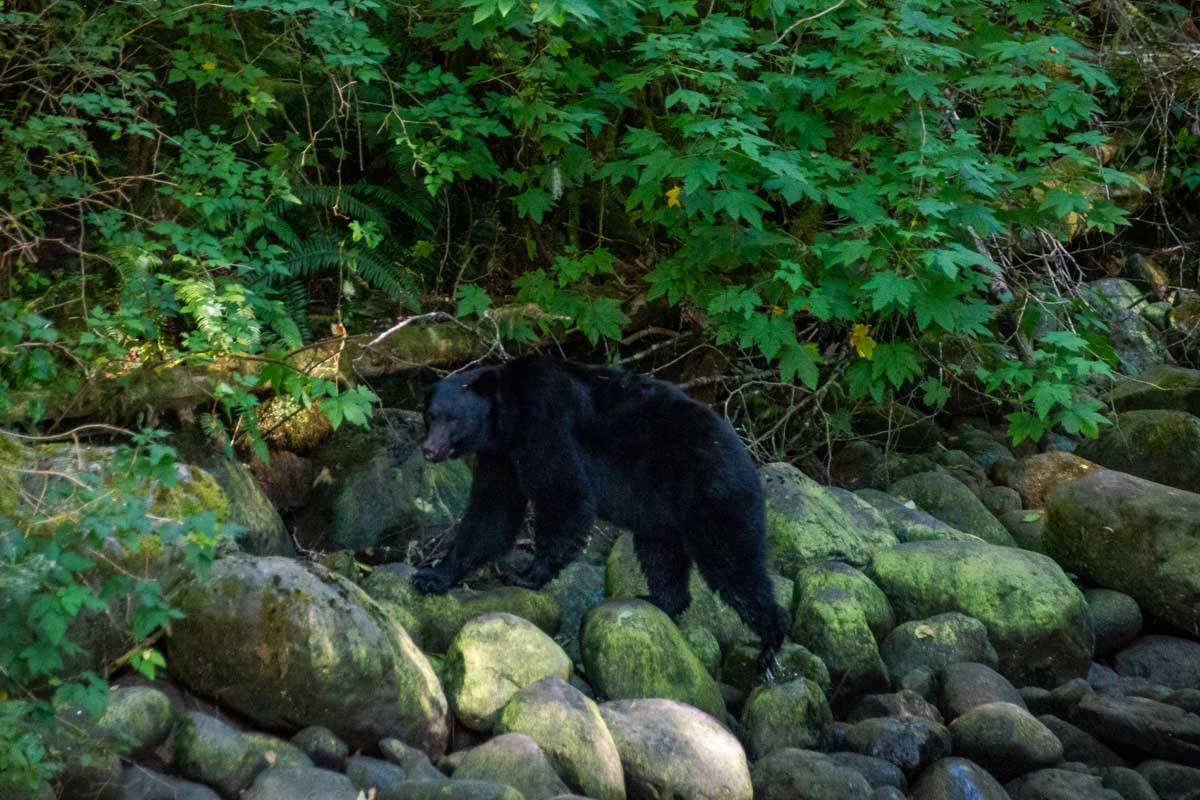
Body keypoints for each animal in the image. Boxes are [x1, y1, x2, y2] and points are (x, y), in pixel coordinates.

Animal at [413, 355, 787, 669]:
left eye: (453, 418)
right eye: (430, 415)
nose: (429, 450)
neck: (507, 418)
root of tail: (744, 453)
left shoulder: (545, 425)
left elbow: (564, 493)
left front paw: (527, 573)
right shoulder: (501, 455)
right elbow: (491, 513)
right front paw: (433, 576)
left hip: (713, 493)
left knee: (733, 562)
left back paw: (771, 639)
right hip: (661, 511)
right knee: (661, 554)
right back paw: (659, 600)